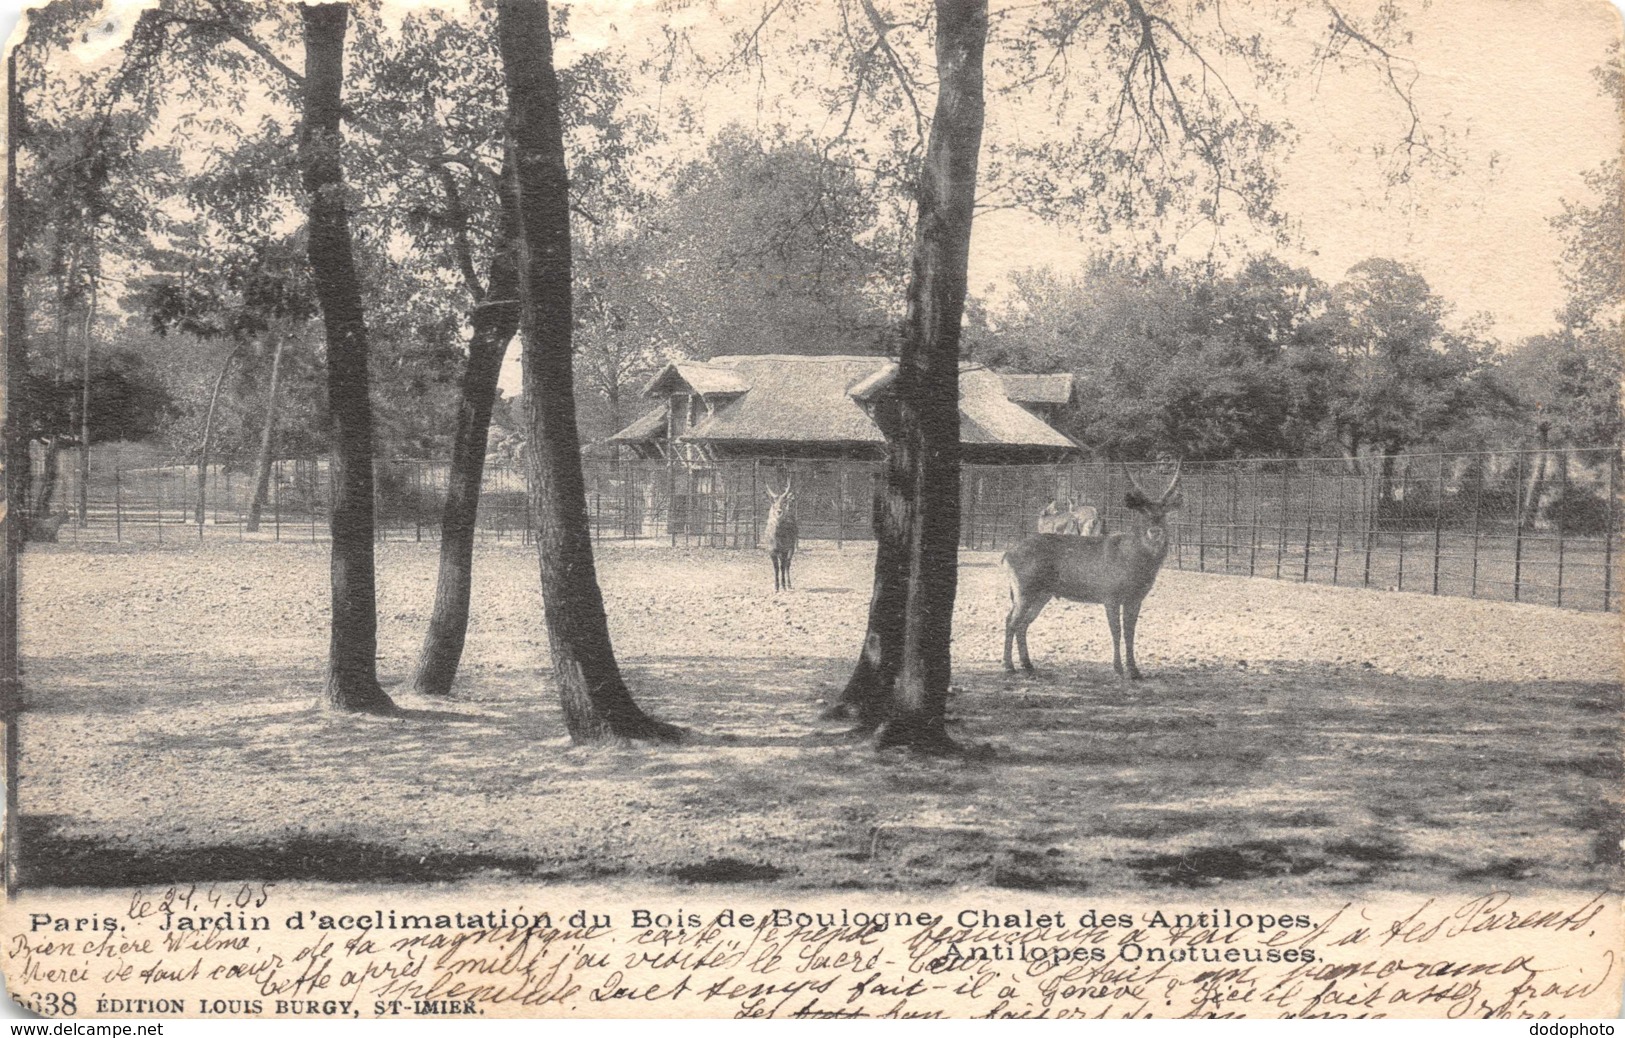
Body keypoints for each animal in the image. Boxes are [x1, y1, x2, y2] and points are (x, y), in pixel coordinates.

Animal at [994, 458, 1189, 679]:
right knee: (1010, 620)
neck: (1132, 561)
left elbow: (1130, 632)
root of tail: (1007, 555)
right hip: (1024, 590)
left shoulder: (1136, 598)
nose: (1154, 531)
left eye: (1164, 513)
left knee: (1023, 623)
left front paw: (1135, 671)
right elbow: (1116, 631)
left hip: (1042, 594)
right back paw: (1008, 666)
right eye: (1142, 512)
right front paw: (1118, 669)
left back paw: (1028, 665)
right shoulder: (1110, 595)